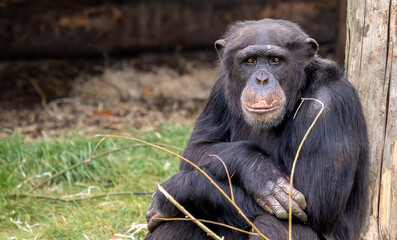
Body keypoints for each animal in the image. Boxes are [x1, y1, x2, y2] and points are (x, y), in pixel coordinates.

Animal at [144, 18, 366, 240]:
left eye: (276, 60)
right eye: (250, 61)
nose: (261, 79)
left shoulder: (329, 103)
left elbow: (317, 205)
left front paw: (173, 191)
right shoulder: (219, 91)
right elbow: (195, 150)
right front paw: (260, 173)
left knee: (274, 222)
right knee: (180, 221)